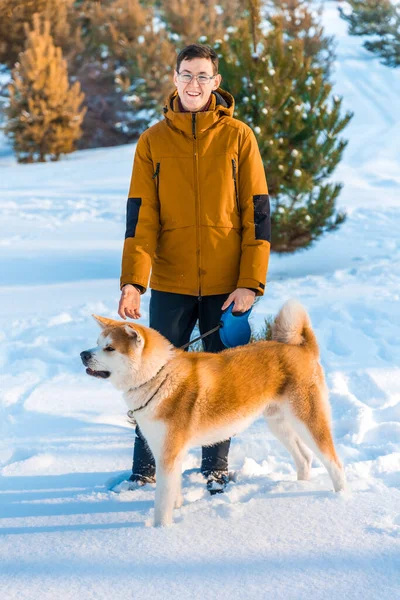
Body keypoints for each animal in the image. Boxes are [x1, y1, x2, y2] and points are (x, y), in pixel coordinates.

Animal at [80, 300, 344, 524]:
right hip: (278, 423)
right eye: (97, 343)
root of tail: (302, 348)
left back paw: (340, 499)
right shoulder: (169, 452)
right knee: (305, 458)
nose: (83, 354)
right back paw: (299, 488)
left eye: (109, 348)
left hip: (308, 421)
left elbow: (161, 502)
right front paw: (177, 508)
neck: (158, 377)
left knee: (334, 463)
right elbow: (173, 491)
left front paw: (160, 530)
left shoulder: (168, 453)